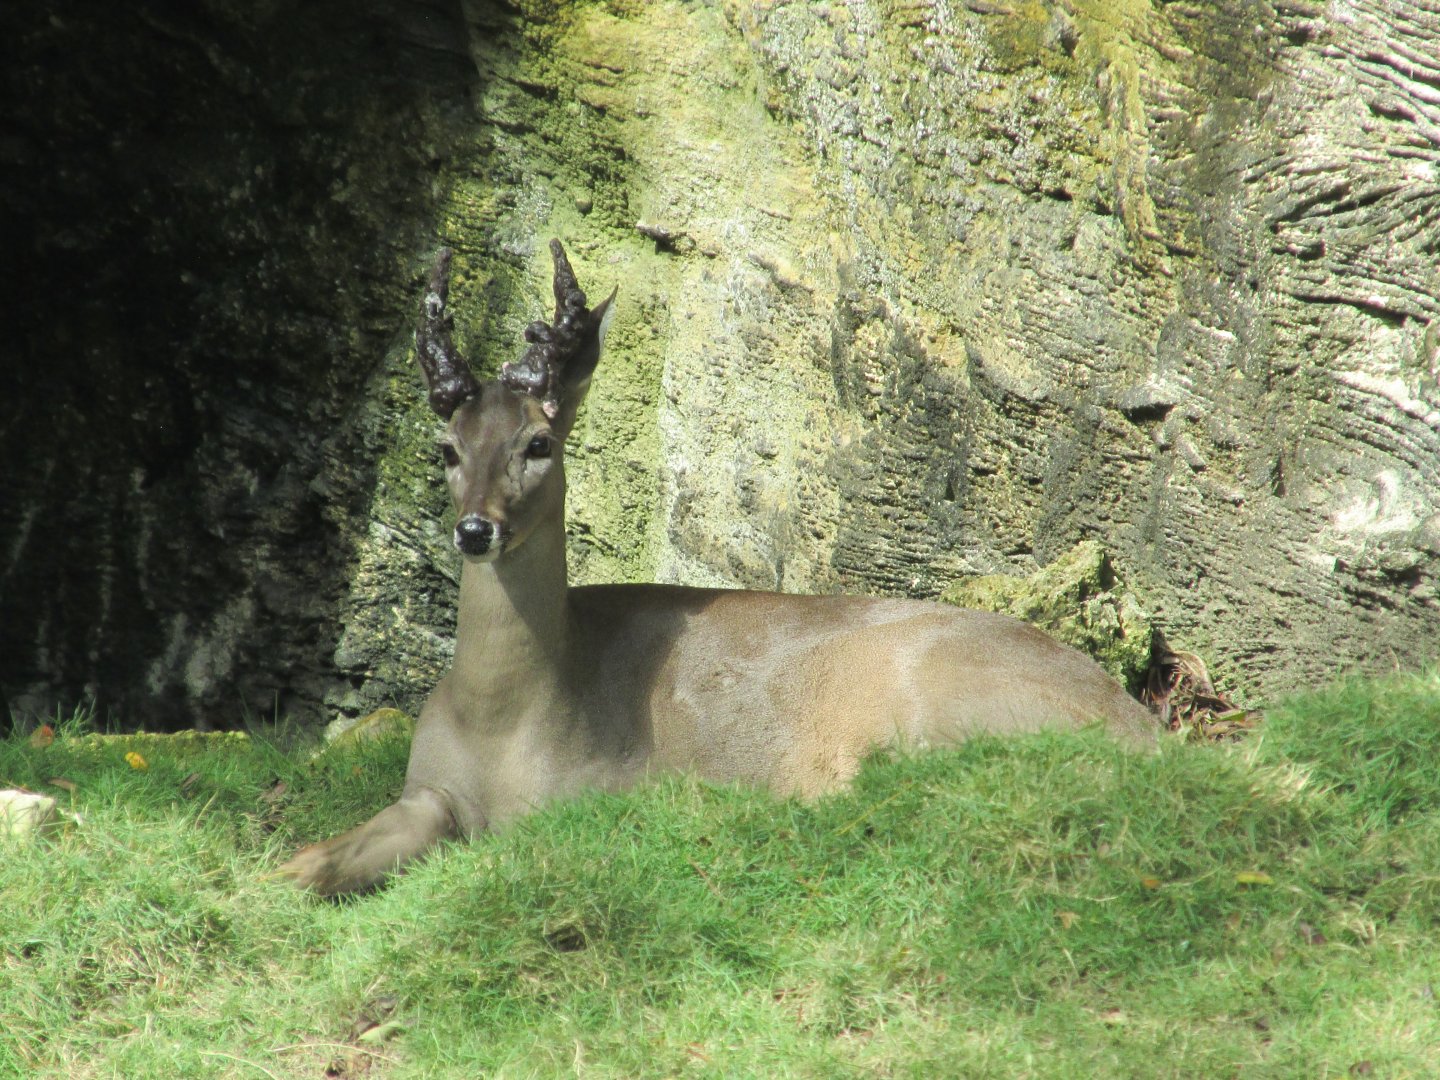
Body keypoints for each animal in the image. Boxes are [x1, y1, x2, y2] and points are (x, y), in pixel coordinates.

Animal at [278, 241, 1158, 895]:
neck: (510, 720)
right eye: (447, 449)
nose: (474, 530)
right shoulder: (428, 787)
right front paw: (283, 875)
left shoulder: (595, 793)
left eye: (539, 443)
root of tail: (1137, 720)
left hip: (939, 699)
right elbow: (322, 857)